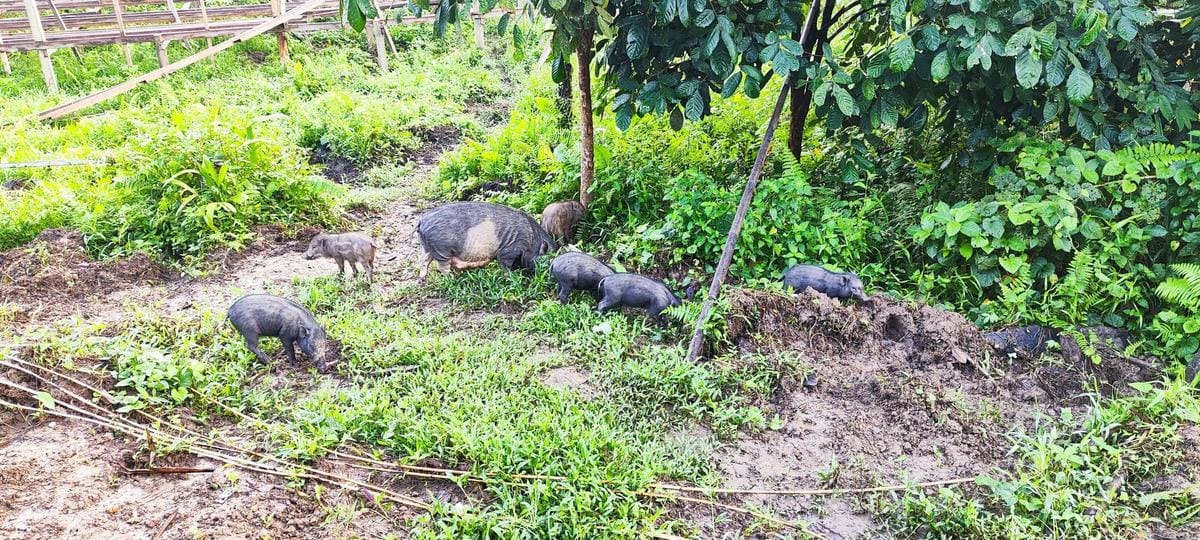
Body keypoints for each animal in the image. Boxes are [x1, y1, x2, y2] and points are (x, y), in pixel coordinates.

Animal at [416, 201, 556, 282]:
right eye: (547, 261)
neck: (532, 240)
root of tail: (422, 220)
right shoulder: (510, 249)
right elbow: (505, 263)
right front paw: (512, 277)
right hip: (442, 249)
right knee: (441, 266)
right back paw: (452, 279)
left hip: (429, 247)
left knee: (424, 260)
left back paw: (423, 278)